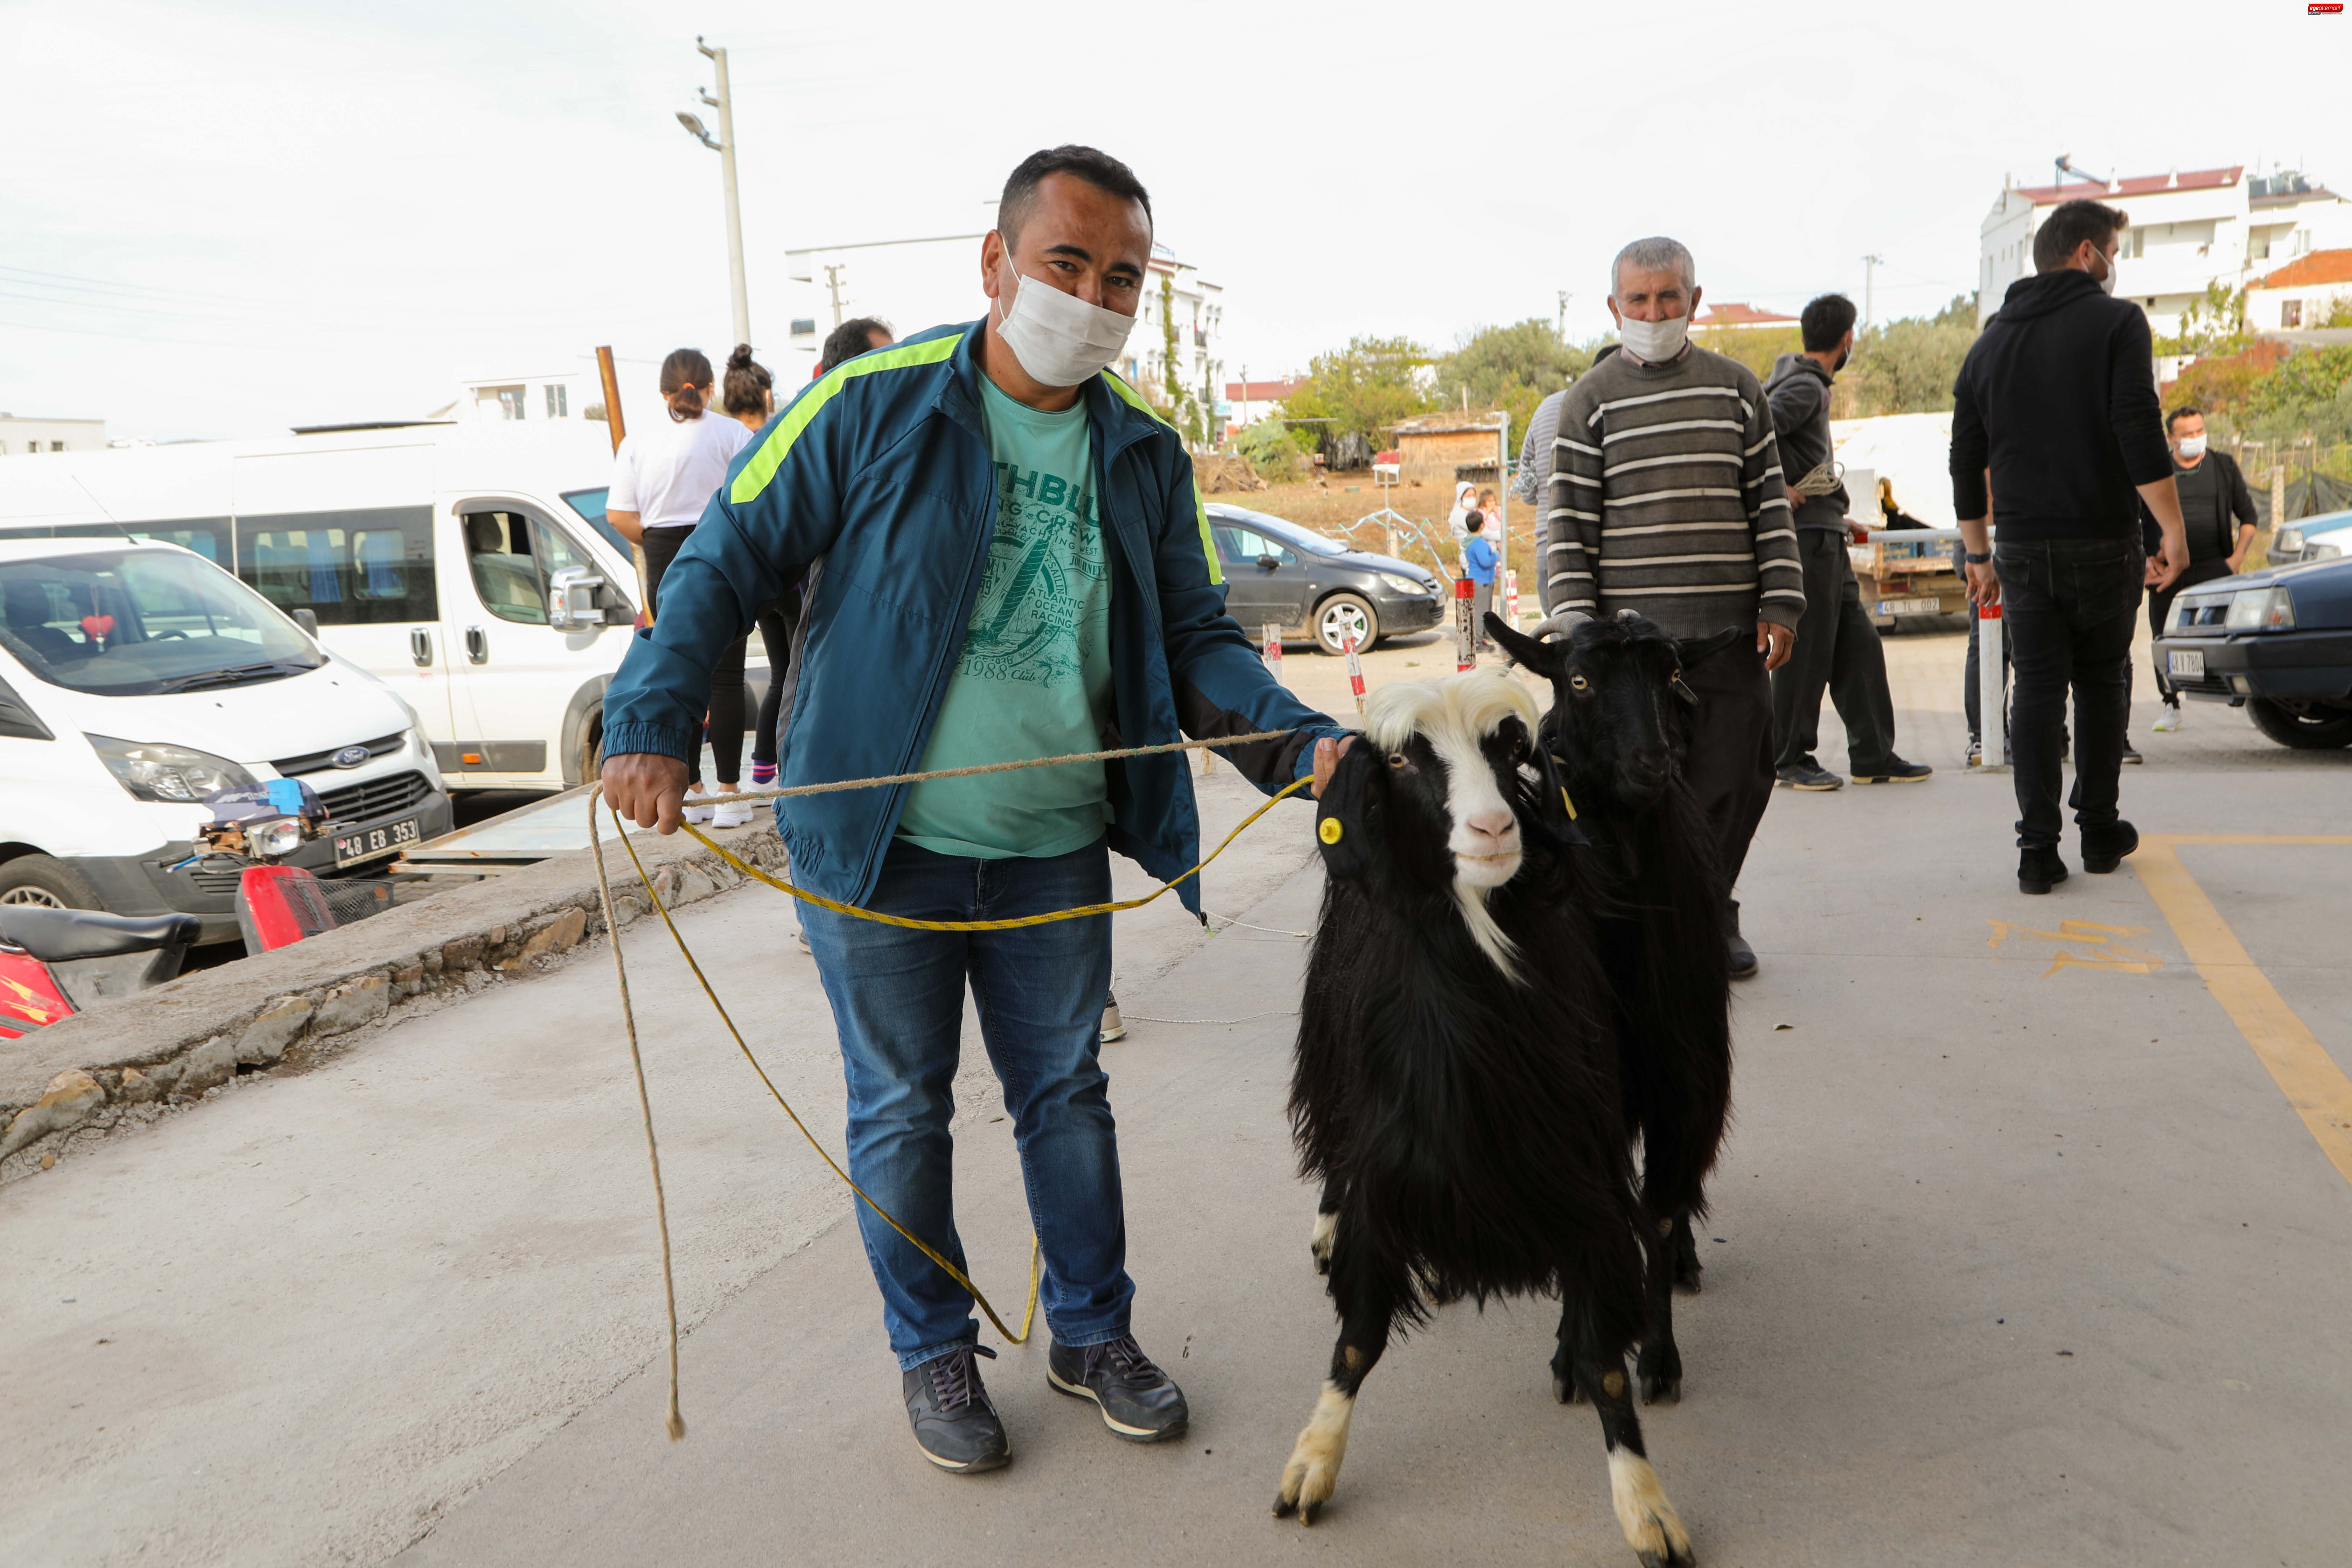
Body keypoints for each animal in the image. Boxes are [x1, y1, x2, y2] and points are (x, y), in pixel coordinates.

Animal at [1289, 672, 1693, 1568]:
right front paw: (1312, 1462)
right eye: (1404, 761)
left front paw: (1648, 1506)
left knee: (1657, 1220)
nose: (1494, 830)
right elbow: (1356, 1338)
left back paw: (1658, 1351)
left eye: (1510, 754)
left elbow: (1606, 1354)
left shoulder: (1575, 1164)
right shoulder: (1389, 1166)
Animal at [1496, 606, 1740, 1401]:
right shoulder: (1571, 1080)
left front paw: (1659, 1358)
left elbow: (1656, 1215)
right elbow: (1590, 1211)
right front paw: (1576, 1351)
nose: (1651, 766)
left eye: (1672, 674)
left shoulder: (1680, 1066)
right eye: (1577, 680)